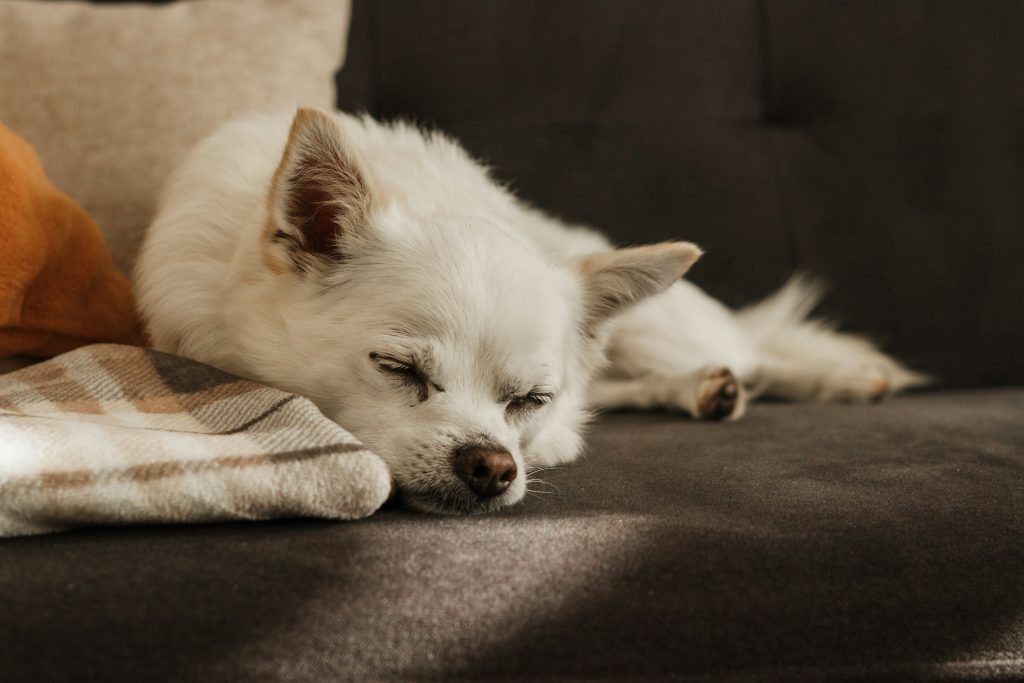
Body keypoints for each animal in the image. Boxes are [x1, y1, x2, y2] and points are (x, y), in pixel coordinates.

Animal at [132, 107, 925, 511]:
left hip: (661, 327)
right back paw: (705, 389)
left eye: (528, 399)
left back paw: (839, 377)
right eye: (398, 368)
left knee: (755, 352)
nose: (492, 464)